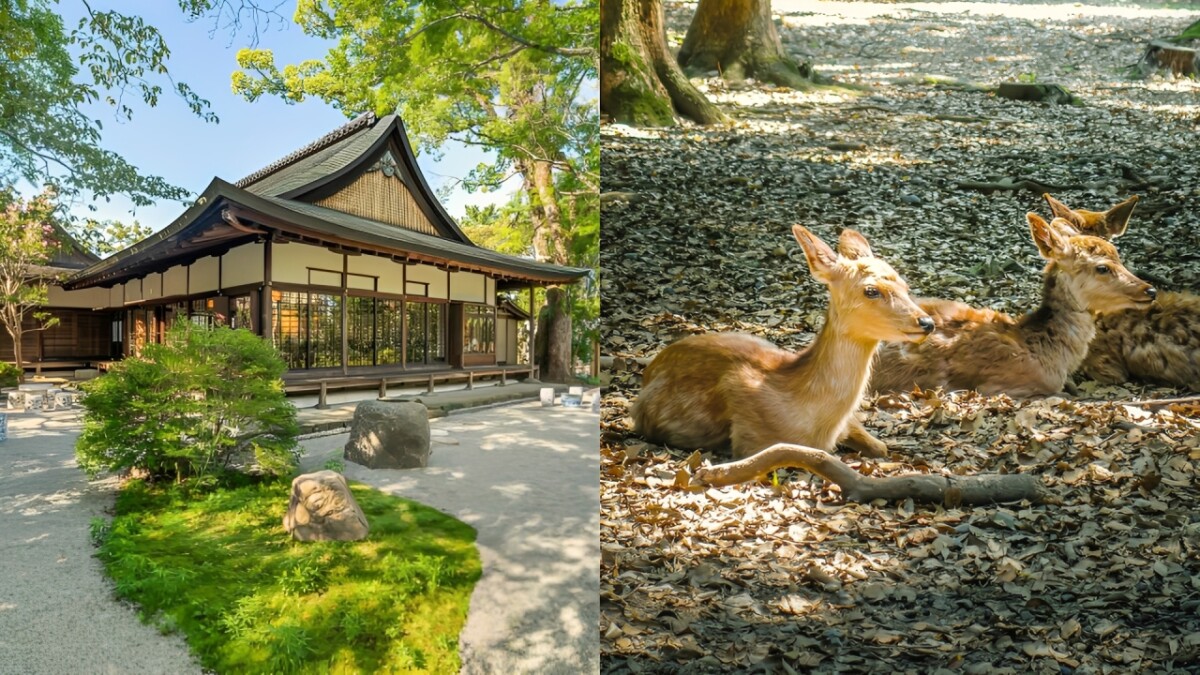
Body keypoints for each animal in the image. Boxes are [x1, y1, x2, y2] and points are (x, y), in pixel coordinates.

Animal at [631, 226, 935, 461]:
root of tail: (648, 373)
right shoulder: (752, 439)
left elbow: (881, 447)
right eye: (871, 290)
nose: (926, 322)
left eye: (905, 286)